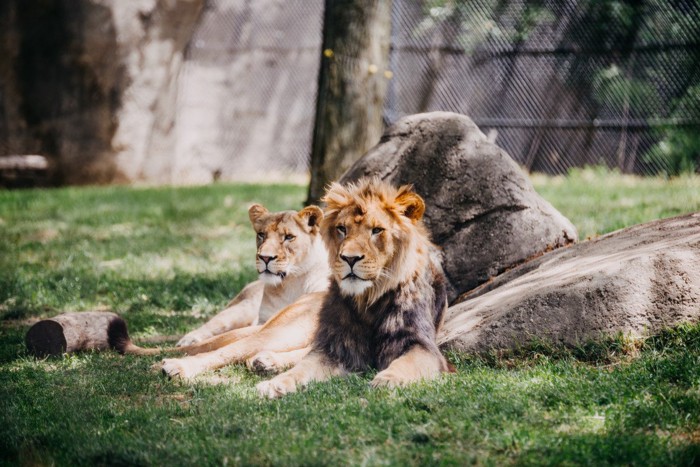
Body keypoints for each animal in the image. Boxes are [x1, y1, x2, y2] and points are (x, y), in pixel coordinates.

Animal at [256, 179, 448, 398]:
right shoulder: (336, 345)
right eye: (342, 229)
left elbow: (406, 363)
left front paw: (386, 381)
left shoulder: (422, 345)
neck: (369, 300)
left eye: (376, 230)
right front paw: (275, 384)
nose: (350, 258)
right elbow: (304, 366)